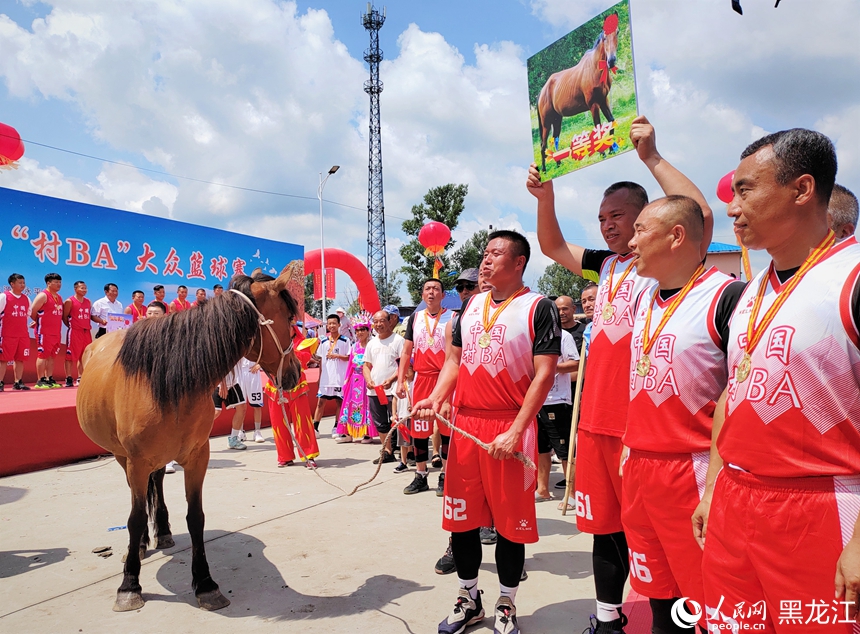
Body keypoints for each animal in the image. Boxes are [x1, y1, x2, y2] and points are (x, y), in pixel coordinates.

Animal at [77, 264, 304, 608]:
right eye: (290, 319)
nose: (297, 372)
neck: (169, 381)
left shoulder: (198, 456)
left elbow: (196, 517)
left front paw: (205, 583)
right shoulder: (136, 460)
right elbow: (134, 518)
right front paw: (129, 584)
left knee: (156, 481)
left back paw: (163, 531)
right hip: (121, 455)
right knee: (138, 496)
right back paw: (140, 544)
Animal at [536, 12, 620, 170]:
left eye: (617, 32)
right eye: (605, 36)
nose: (611, 60)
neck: (595, 68)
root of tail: (542, 91)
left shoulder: (603, 100)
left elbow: (610, 122)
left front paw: (611, 149)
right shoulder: (593, 104)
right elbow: (598, 127)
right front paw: (603, 153)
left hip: (557, 119)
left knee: (554, 138)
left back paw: (559, 164)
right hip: (546, 122)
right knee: (543, 144)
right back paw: (544, 170)